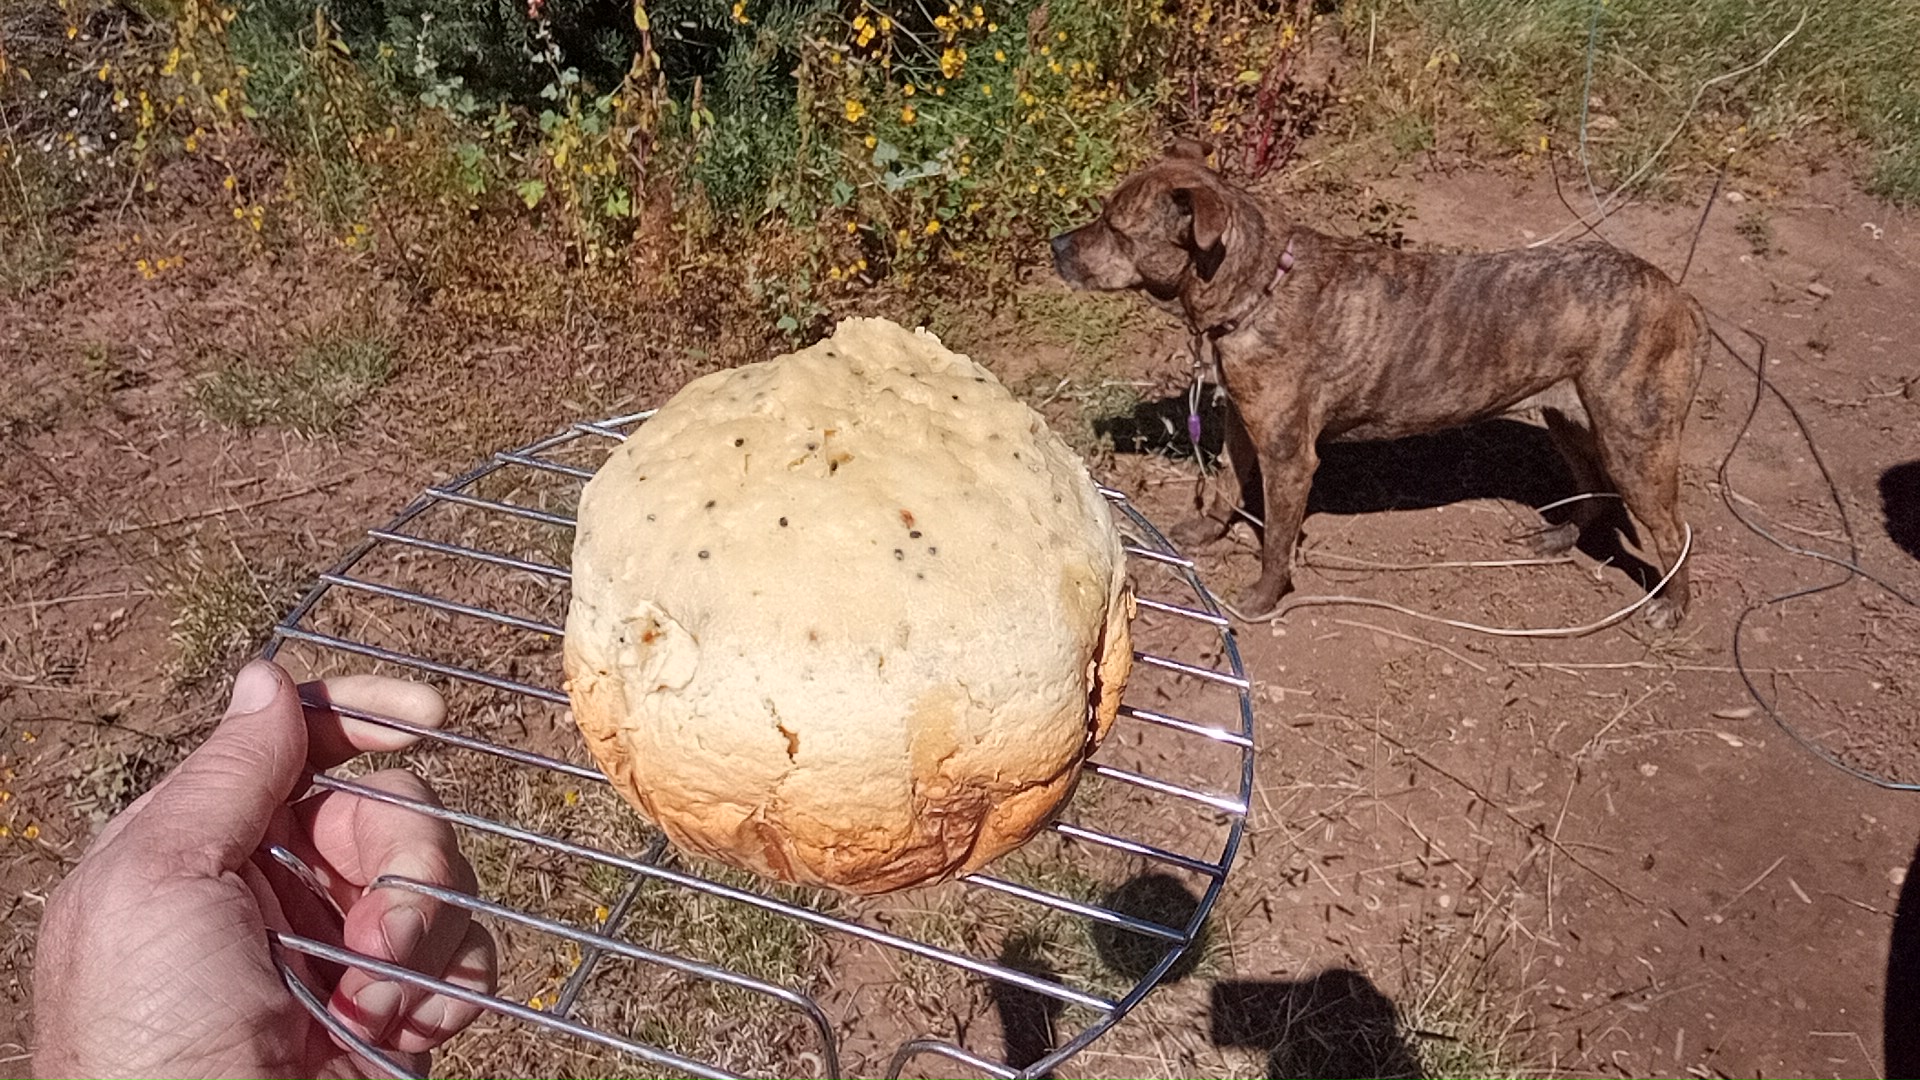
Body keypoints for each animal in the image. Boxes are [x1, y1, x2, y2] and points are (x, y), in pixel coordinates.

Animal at [1052, 145, 1712, 630]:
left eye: (1115, 227)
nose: (1056, 244)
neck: (1256, 288)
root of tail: (1676, 292)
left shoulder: (1290, 458)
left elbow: (1275, 542)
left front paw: (1264, 598)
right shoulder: (1245, 424)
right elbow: (1225, 485)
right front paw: (1206, 531)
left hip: (1635, 439)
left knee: (1675, 531)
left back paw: (1672, 606)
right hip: (1571, 421)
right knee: (1595, 489)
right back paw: (1561, 537)